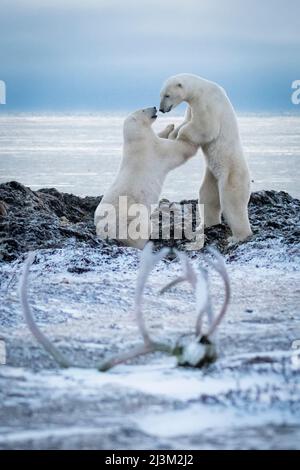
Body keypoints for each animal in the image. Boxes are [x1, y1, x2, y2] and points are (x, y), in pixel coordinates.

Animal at [94, 107, 197, 250]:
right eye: (143, 109)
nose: (154, 107)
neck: (137, 141)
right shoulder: (156, 150)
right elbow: (178, 150)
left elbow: (160, 135)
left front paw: (169, 126)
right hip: (135, 220)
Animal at [161, 74, 252, 242]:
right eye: (161, 94)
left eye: (167, 95)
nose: (162, 109)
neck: (200, 88)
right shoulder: (192, 106)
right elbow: (187, 121)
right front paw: (173, 133)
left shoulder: (207, 102)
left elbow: (206, 127)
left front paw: (180, 135)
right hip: (212, 174)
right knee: (207, 196)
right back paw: (205, 226)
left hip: (232, 174)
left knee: (232, 203)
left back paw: (238, 237)